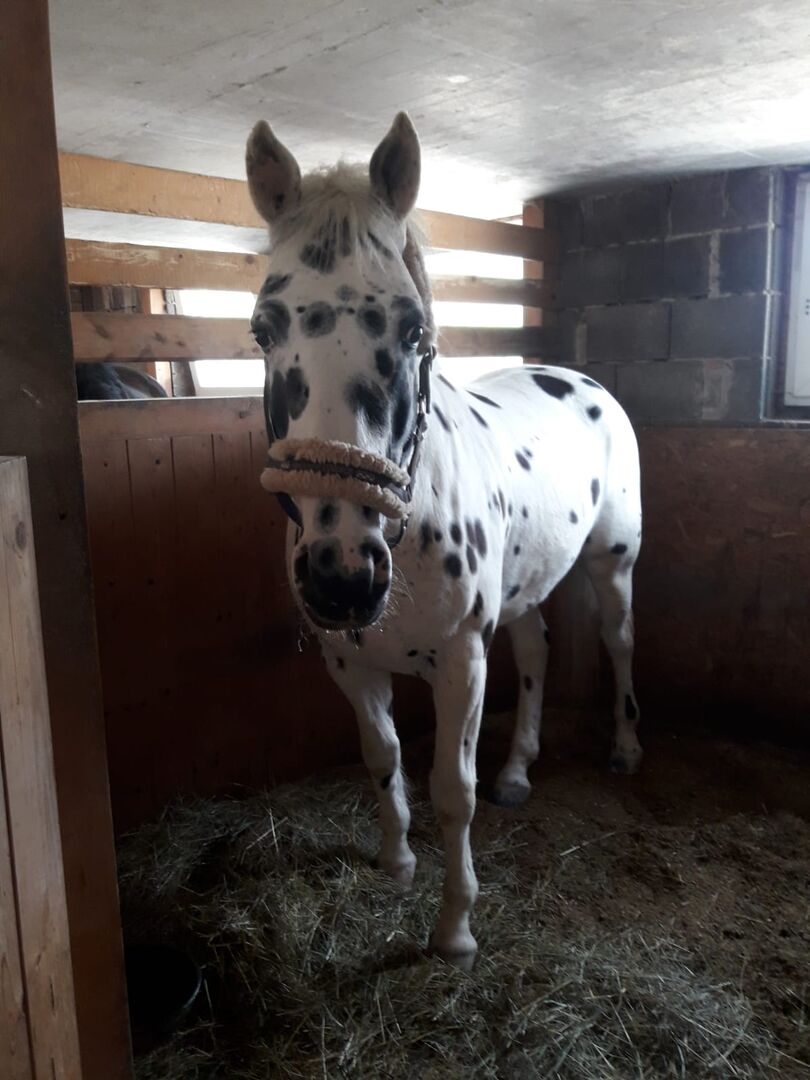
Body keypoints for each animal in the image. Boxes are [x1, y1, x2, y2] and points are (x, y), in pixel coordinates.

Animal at [245, 112, 643, 968]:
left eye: (413, 327)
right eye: (262, 328)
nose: (343, 575)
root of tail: (583, 381)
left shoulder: (462, 660)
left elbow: (450, 793)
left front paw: (455, 928)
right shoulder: (350, 661)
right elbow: (384, 758)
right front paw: (395, 861)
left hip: (612, 565)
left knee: (618, 641)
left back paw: (626, 749)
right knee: (535, 652)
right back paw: (519, 771)